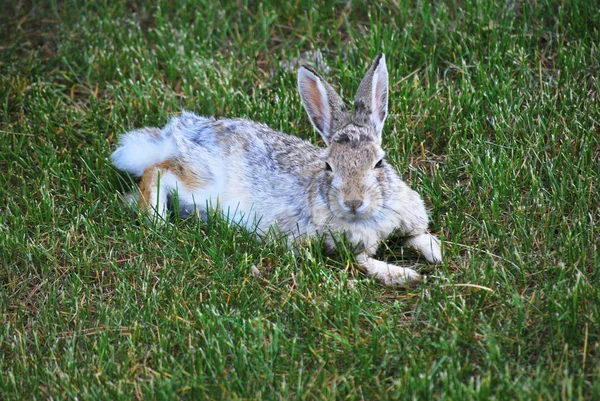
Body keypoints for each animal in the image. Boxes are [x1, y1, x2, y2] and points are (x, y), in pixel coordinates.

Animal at [112, 54, 440, 286]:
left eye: (379, 162)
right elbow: (362, 262)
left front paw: (435, 253)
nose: (353, 202)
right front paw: (405, 277)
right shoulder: (340, 246)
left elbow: (419, 236)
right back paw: (158, 220)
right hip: (201, 183)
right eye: (329, 165)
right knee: (157, 171)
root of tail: (175, 132)